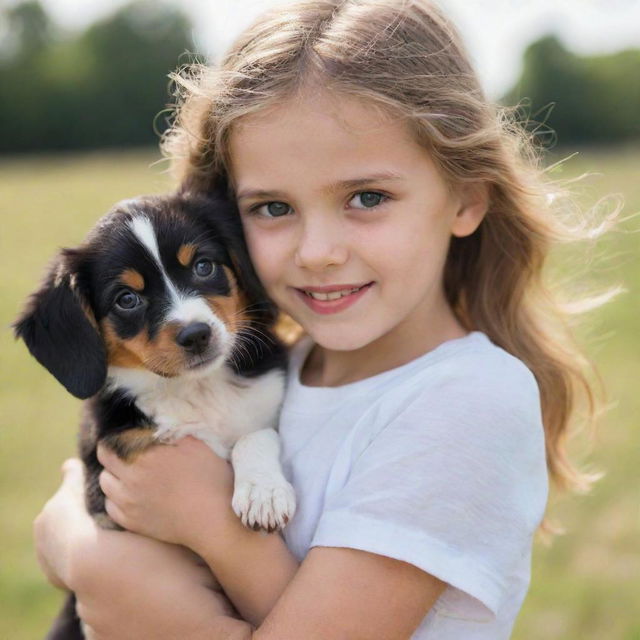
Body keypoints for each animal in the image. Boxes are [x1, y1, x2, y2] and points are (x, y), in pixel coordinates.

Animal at [15, 188, 296, 636]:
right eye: (127, 299)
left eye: (203, 266)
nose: (197, 335)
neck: (196, 387)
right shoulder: (109, 462)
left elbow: (255, 434)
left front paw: (263, 494)